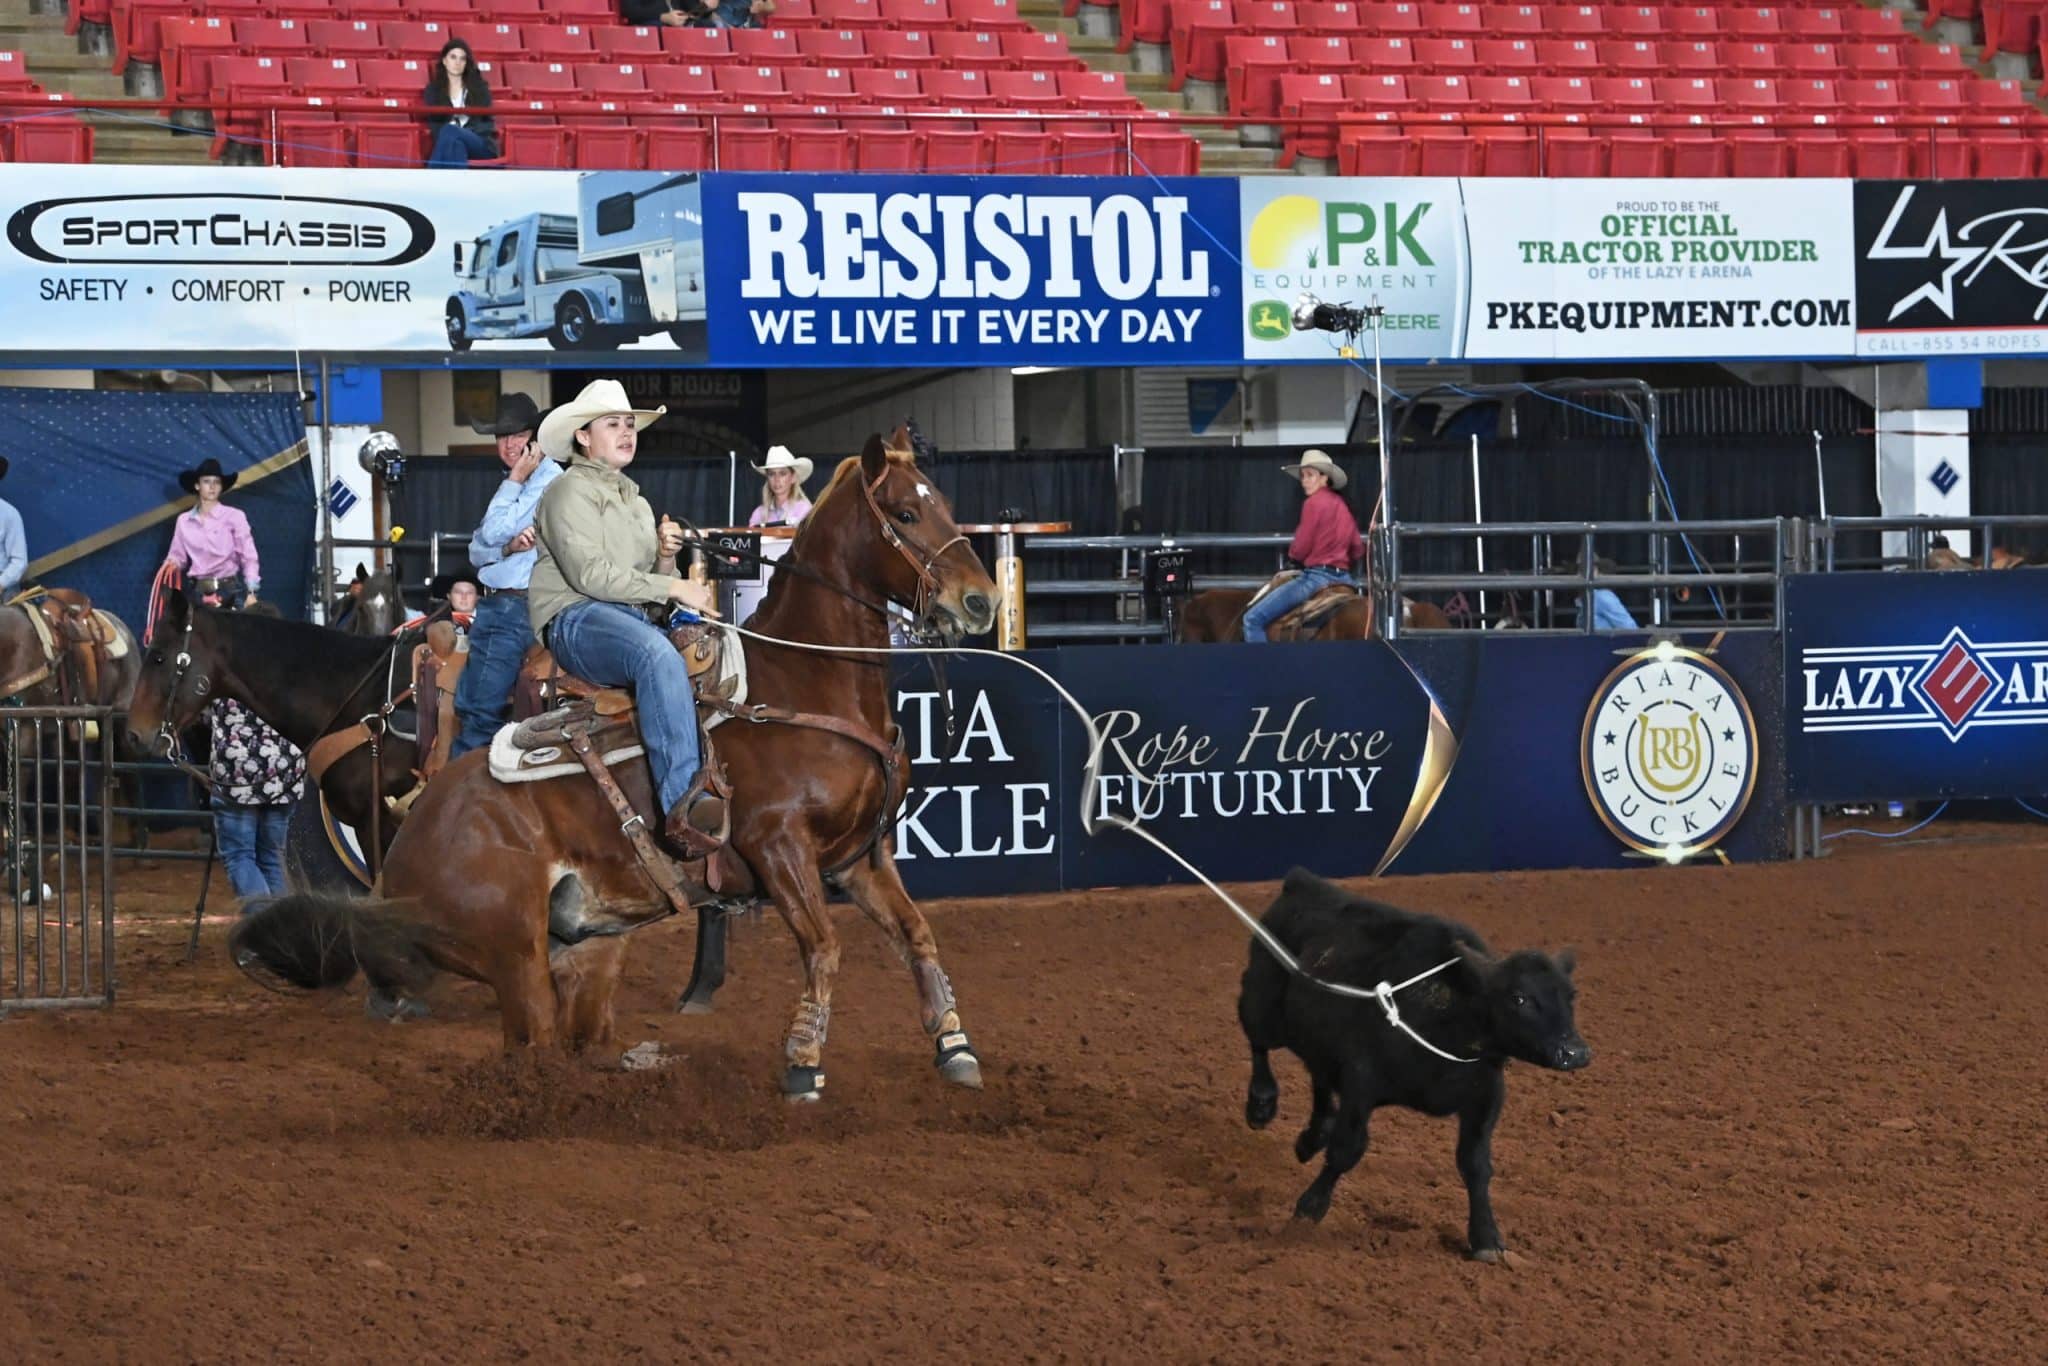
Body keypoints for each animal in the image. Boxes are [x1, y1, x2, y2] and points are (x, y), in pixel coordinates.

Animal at [218, 438, 999, 1097]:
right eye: (905, 512)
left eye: (944, 502)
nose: (980, 600)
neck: (802, 686)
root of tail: (403, 864)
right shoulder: (779, 850)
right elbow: (824, 947)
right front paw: (803, 1063)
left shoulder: (859, 858)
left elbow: (915, 935)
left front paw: (955, 1046)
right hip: (514, 953)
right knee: (528, 1047)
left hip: (592, 948)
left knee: (575, 1037)